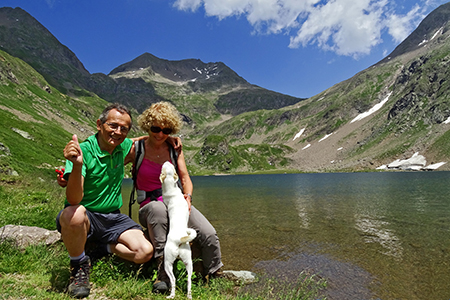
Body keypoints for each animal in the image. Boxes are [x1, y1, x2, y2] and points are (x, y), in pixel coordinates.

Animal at [161, 163, 198, 298]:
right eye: (165, 167)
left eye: (170, 167)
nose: (167, 162)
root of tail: (179, 239)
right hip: (180, 261)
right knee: (183, 279)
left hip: (175, 261)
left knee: (177, 279)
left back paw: (175, 295)